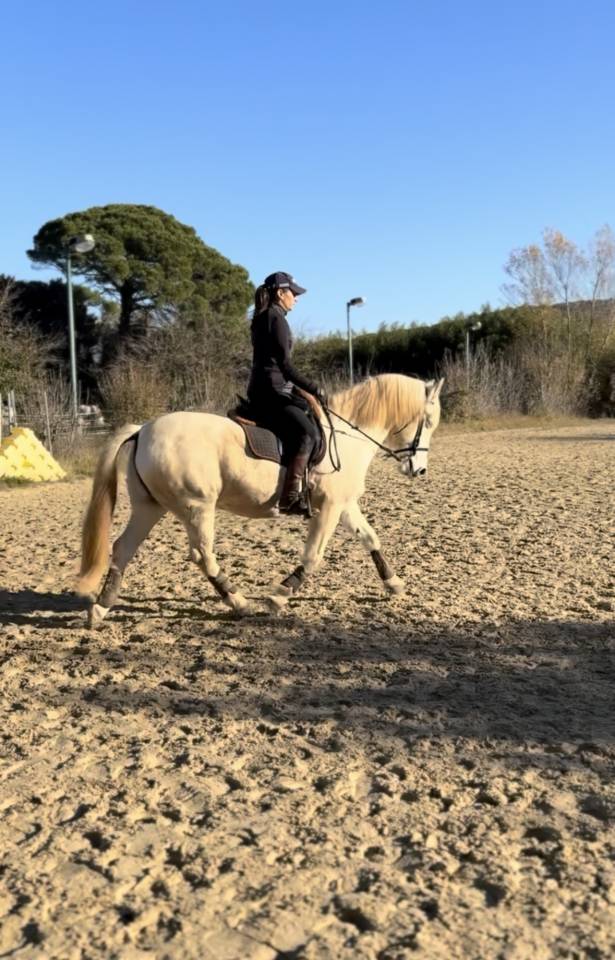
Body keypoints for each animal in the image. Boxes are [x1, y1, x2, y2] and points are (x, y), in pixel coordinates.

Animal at [78, 374, 444, 626]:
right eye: (426, 422)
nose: (420, 470)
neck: (348, 436)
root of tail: (142, 430)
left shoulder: (344, 504)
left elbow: (370, 538)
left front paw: (394, 584)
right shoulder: (329, 507)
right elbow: (313, 556)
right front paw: (279, 596)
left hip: (150, 507)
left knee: (123, 548)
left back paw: (101, 608)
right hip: (196, 507)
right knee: (202, 555)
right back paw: (239, 602)